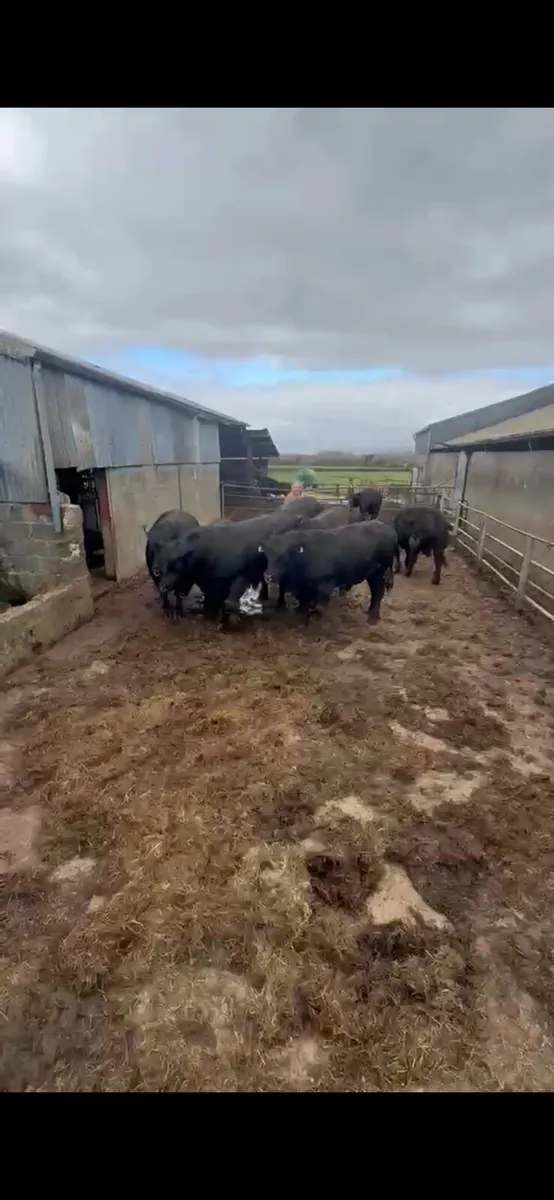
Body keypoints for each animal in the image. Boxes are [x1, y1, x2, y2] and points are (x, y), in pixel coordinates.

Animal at [260, 519, 398, 624]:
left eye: (283, 556)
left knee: (378, 592)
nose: (268, 576)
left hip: (380, 572)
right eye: (267, 555)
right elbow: (303, 604)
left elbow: (319, 608)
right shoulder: (303, 586)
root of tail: (386, 527)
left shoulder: (326, 582)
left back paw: (373, 617)